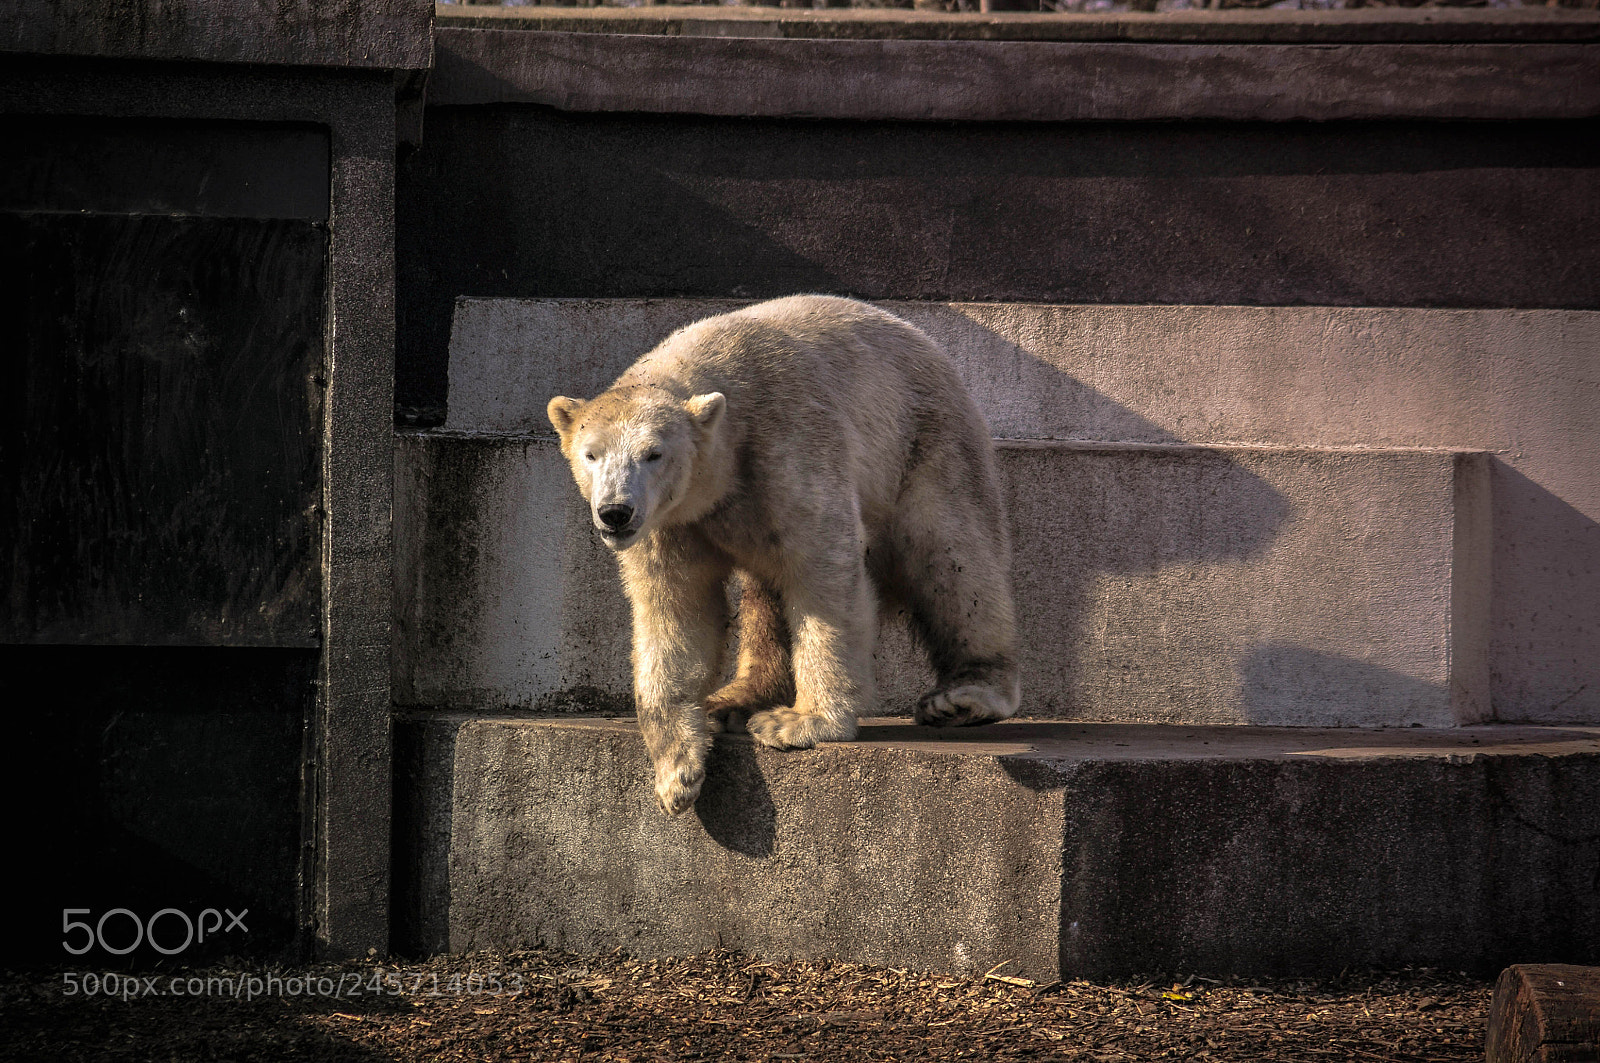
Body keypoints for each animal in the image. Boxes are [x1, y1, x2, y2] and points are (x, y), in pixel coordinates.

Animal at [547, 295, 1019, 815]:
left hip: (928, 443)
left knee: (953, 558)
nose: (615, 512)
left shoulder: (788, 447)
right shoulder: (671, 524)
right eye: (591, 454)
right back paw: (735, 700)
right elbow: (676, 611)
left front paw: (804, 722)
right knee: (764, 596)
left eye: (653, 454)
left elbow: (825, 575)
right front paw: (676, 773)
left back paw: (965, 696)